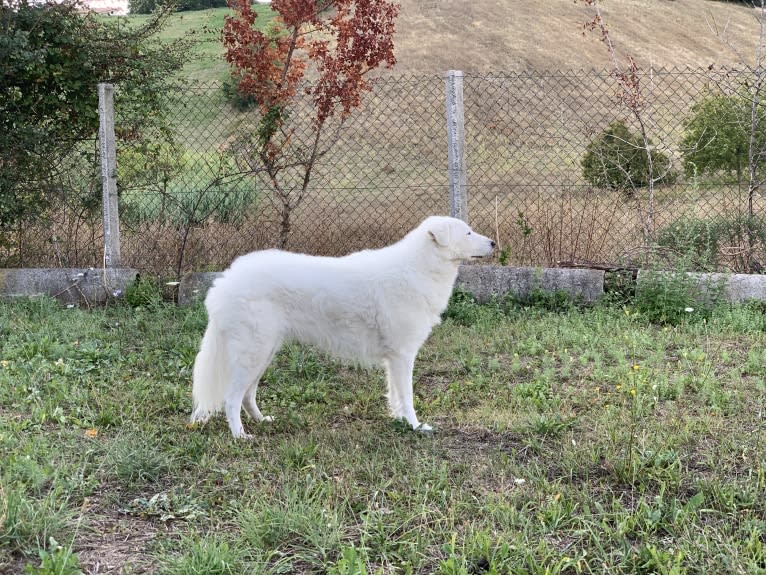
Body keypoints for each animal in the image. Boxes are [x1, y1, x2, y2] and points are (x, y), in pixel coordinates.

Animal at [189, 215, 496, 436]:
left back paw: (263, 420)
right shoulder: (402, 355)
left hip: (264, 353)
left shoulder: (394, 359)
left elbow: (396, 396)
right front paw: (416, 426)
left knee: (246, 396)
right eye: (468, 233)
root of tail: (225, 280)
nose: (494, 243)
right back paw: (240, 436)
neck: (418, 268)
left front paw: (399, 421)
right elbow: (407, 397)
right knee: (231, 398)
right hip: (253, 353)